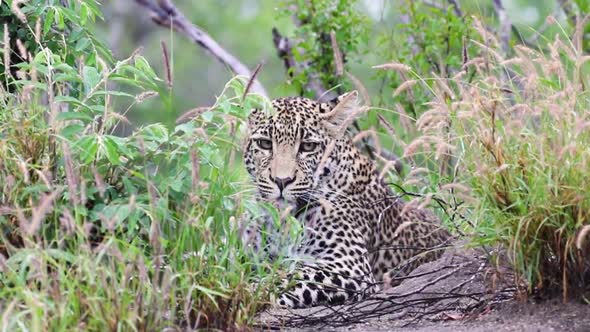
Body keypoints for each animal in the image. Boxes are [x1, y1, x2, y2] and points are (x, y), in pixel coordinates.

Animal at [243, 91, 450, 308]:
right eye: (265, 143)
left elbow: (288, 277)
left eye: (308, 146)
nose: (281, 181)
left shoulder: (350, 266)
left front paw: (249, 293)